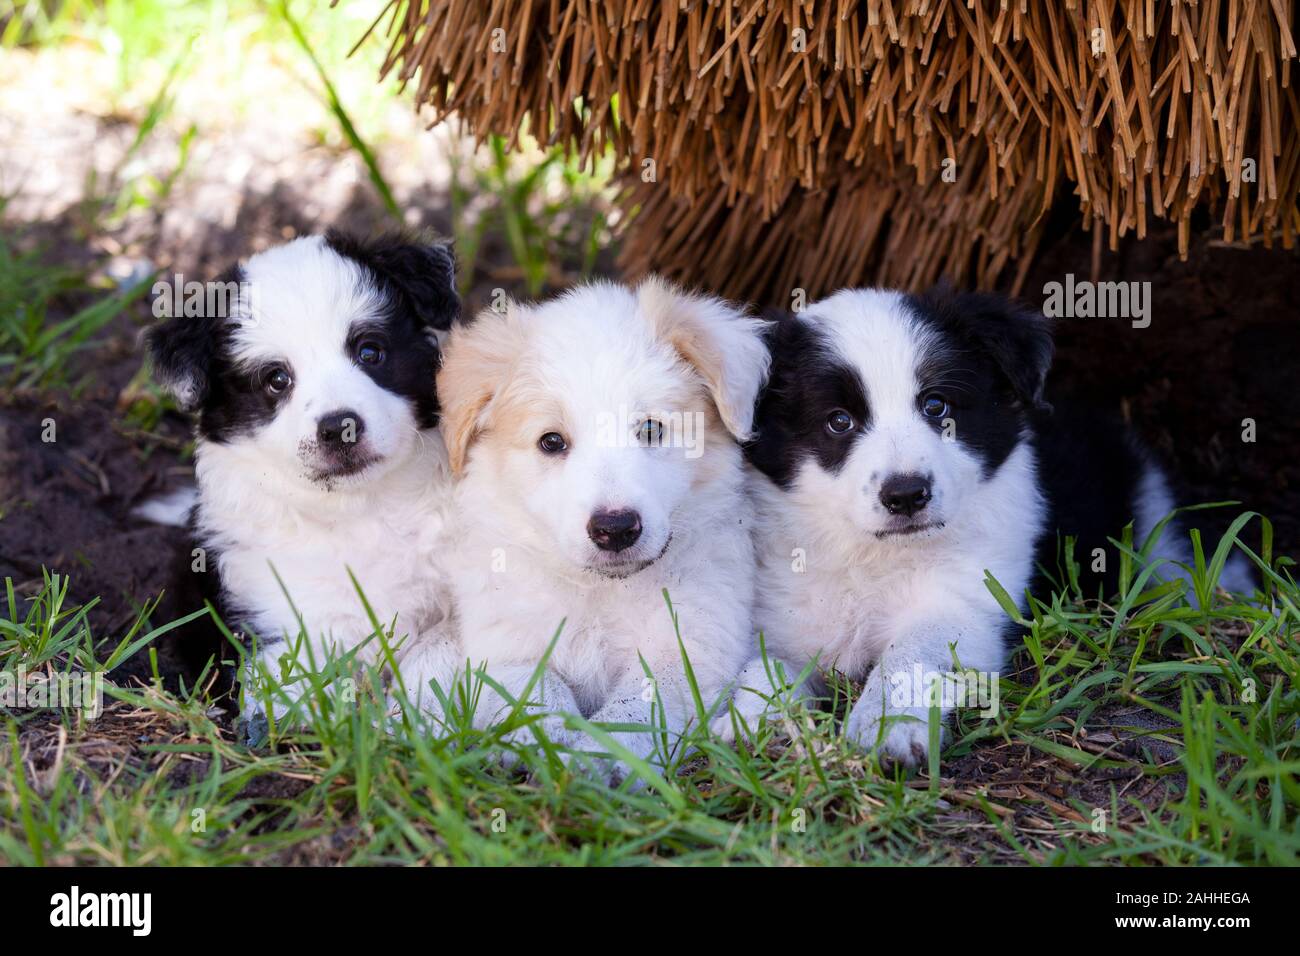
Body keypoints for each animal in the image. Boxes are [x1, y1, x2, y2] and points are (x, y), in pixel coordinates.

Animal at [144, 231, 462, 723]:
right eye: (277, 379)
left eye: (370, 352)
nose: (339, 426)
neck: (360, 509)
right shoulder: (279, 617)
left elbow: (444, 650)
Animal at [436, 278, 769, 785]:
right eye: (552, 442)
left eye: (650, 428)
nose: (615, 528)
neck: (601, 592)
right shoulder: (505, 644)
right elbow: (537, 692)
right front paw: (545, 747)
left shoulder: (687, 648)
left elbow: (633, 713)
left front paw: (597, 760)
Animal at [733, 287, 1248, 764]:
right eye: (838, 422)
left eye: (936, 406)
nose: (907, 495)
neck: (873, 554)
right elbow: (760, 665)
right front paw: (749, 718)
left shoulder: (969, 603)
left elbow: (912, 650)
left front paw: (888, 727)